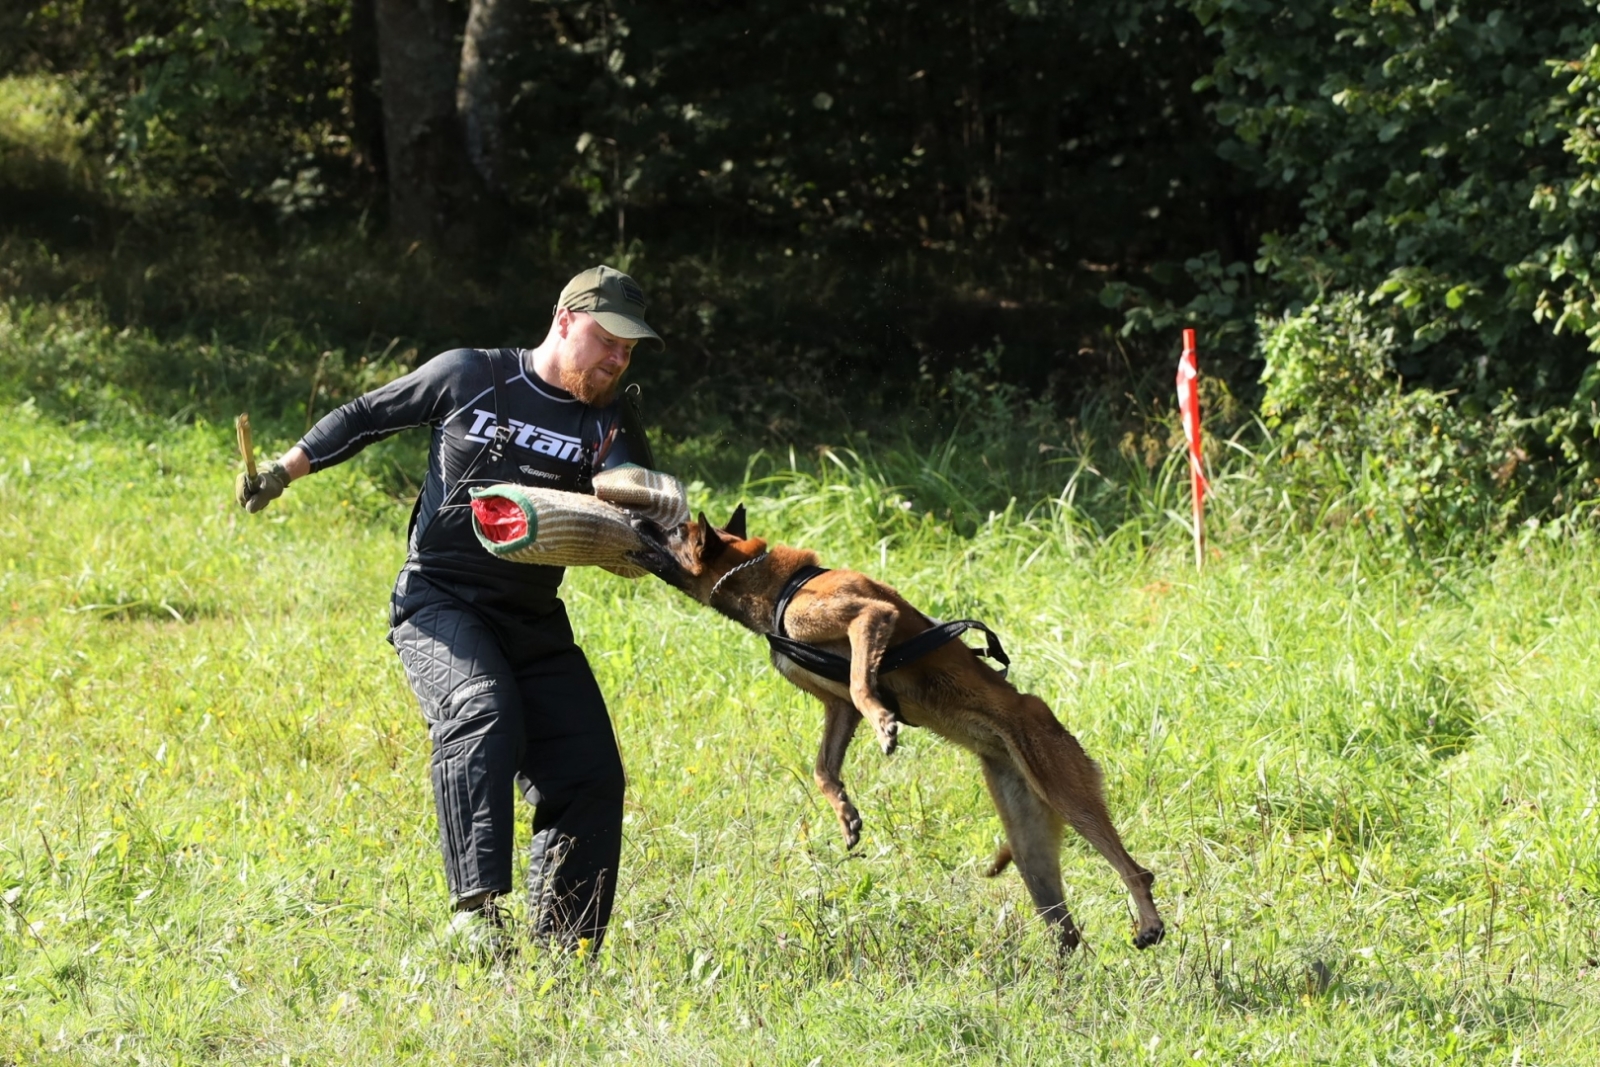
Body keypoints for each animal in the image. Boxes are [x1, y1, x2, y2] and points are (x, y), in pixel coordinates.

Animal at [630, 508, 1171, 953]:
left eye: (675, 531)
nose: (635, 518)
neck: (774, 584)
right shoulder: (836, 708)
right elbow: (824, 765)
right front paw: (845, 814)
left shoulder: (869, 615)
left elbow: (861, 681)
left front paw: (884, 724)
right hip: (1030, 847)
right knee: (1067, 932)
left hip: (1067, 793)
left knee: (1135, 870)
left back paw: (1148, 924)